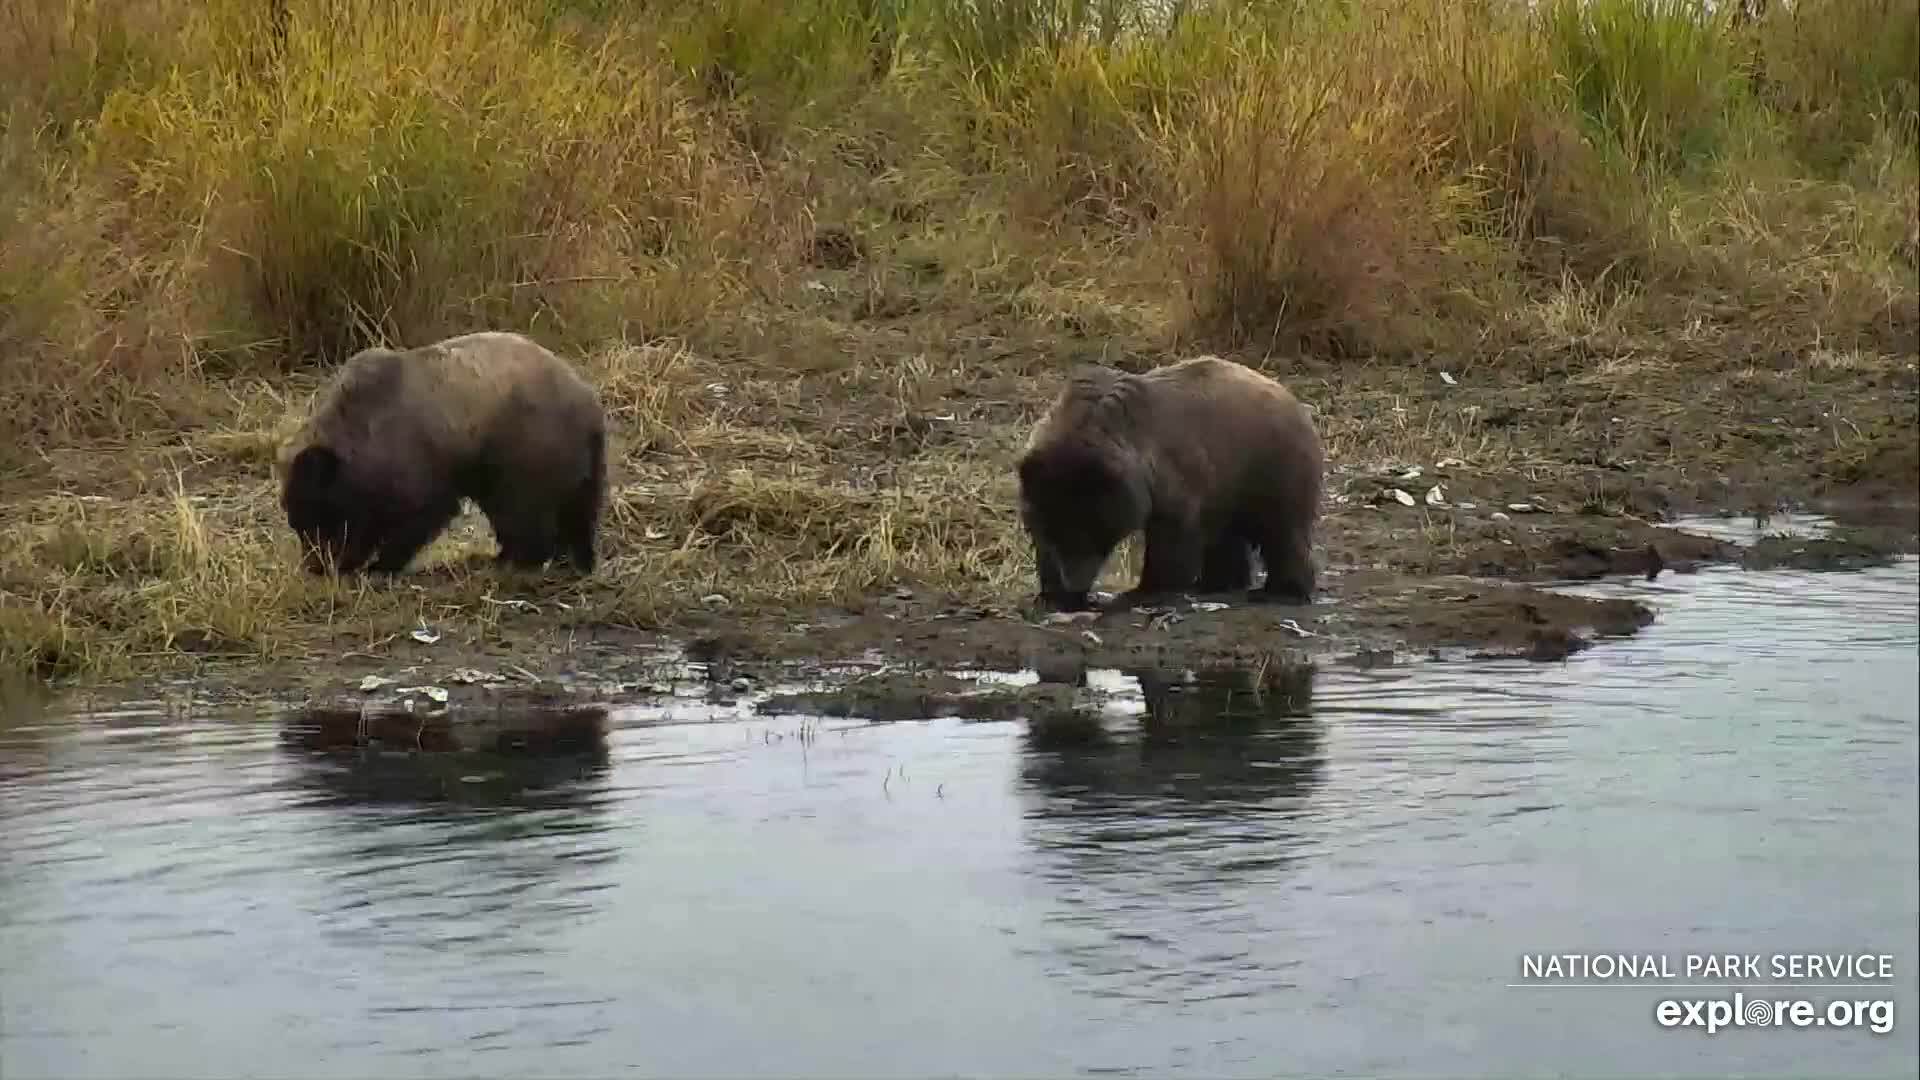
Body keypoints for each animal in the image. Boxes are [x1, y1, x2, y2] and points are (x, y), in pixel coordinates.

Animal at [275, 330, 608, 576]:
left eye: (319, 517)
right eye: (296, 523)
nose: (315, 566)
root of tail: (588, 402)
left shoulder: (416, 463)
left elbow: (418, 514)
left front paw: (379, 565)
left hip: (527, 445)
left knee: (526, 508)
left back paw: (522, 559)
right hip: (573, 458)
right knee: (578, 507)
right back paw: (570, 557)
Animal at [1014, 355, 1324, 612]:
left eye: (1094, 530)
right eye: (1056, 529)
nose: (1076, 584)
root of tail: (1294, 400)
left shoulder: (1170, 475)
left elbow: (1171, 536)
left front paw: (1144, 592)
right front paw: (1053, 594)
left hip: (1269, 464)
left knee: (1282, 528)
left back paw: (1281, 591)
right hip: (1228, 480)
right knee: (1228, 534)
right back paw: (1218, 582)